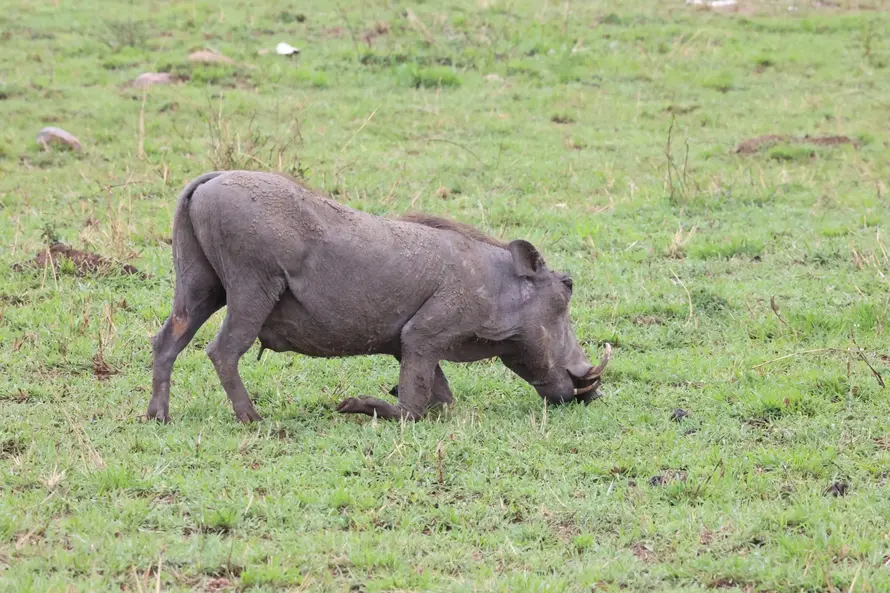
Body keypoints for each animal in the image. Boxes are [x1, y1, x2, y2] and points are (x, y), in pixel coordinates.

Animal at [148, 171, 610, 423]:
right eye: (567, 287)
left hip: (200, 287)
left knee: (166, 342)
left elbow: (441, 397)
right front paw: (352, 405)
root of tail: (211, 179)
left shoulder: (411, 345)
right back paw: (253, 419)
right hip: (251, 288)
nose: (592, 393)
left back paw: (157, 417)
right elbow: (413, 407)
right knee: (223, 351)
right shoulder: (424, 336)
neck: (496, 285)